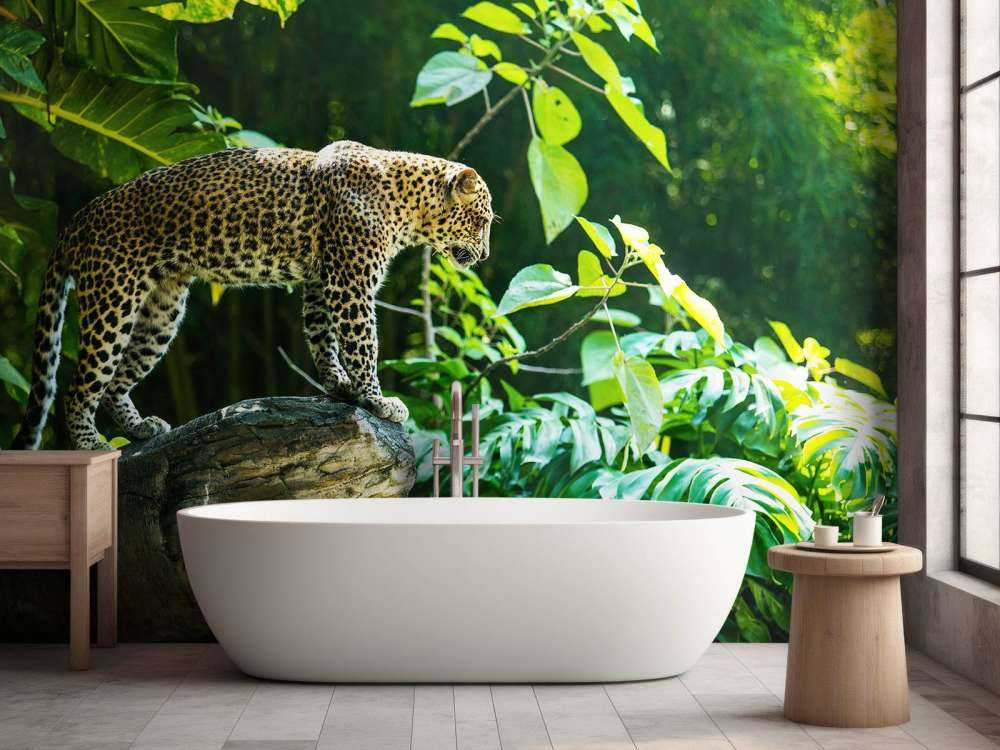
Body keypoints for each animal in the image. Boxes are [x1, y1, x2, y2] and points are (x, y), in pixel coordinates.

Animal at [12, 141, 493, 450]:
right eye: (483, 220)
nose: (486, 255)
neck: (407, 204)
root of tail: (77, 220)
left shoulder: (321, 281)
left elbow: (323, 338)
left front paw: (339, 387)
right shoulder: (350, 283)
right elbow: (362, 344)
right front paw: (377, 400)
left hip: (161, 310)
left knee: (115, 381)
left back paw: (142, 429)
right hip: (112, 300)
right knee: (78, 386)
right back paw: (92, 446)